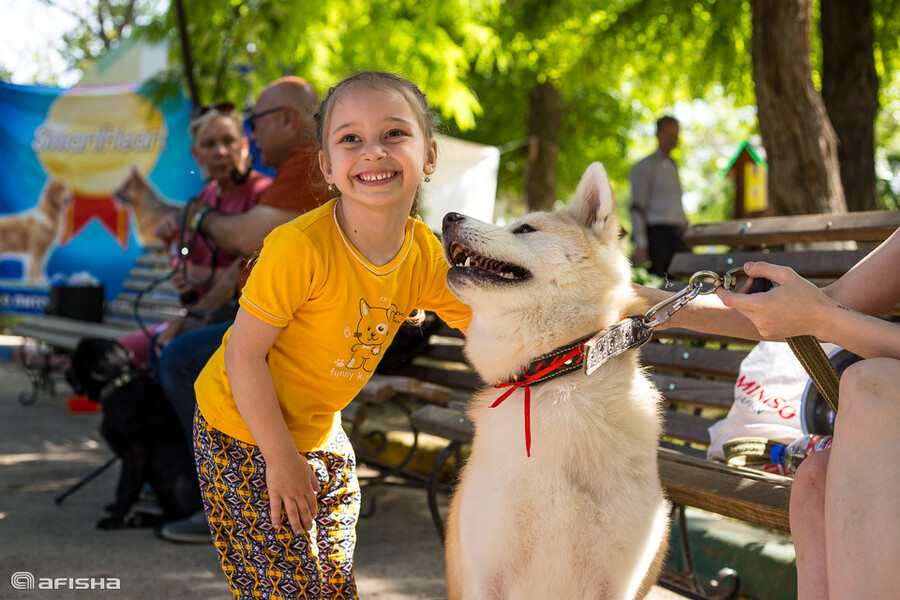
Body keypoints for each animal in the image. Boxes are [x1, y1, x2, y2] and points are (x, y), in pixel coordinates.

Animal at [66, 338, 203, 528]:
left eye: (76, 360)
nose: (66, 372)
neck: (118, 385)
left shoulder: (136, 449)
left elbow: (124, 487)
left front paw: (116, 519)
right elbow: (134, 488)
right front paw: (119, 511)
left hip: (180, 483)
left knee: (175, 515)